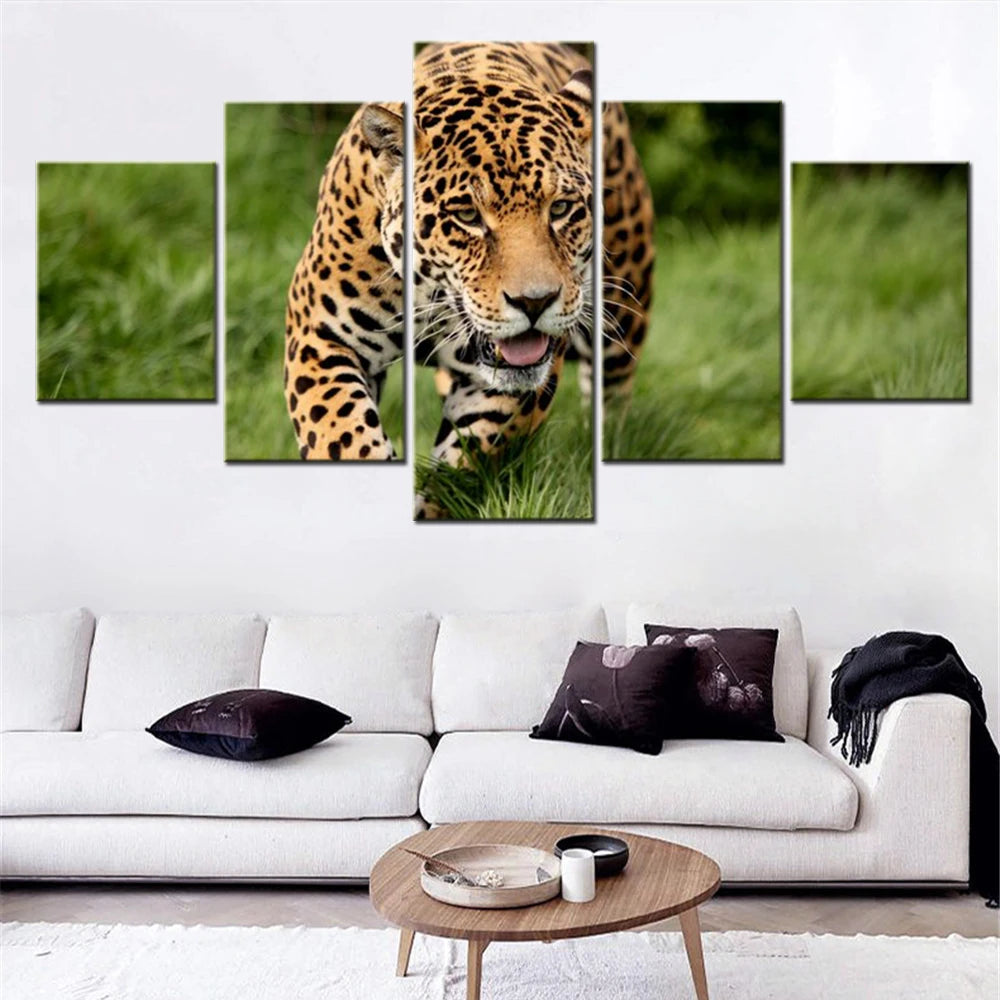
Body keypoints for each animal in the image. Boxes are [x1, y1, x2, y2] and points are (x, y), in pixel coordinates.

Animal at [283, 43, 654, 504]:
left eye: (561, 208)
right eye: (467, 216)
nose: (534, 302)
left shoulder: (509, 387)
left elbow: (461, 465)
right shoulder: (320, 335)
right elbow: (344, 436)